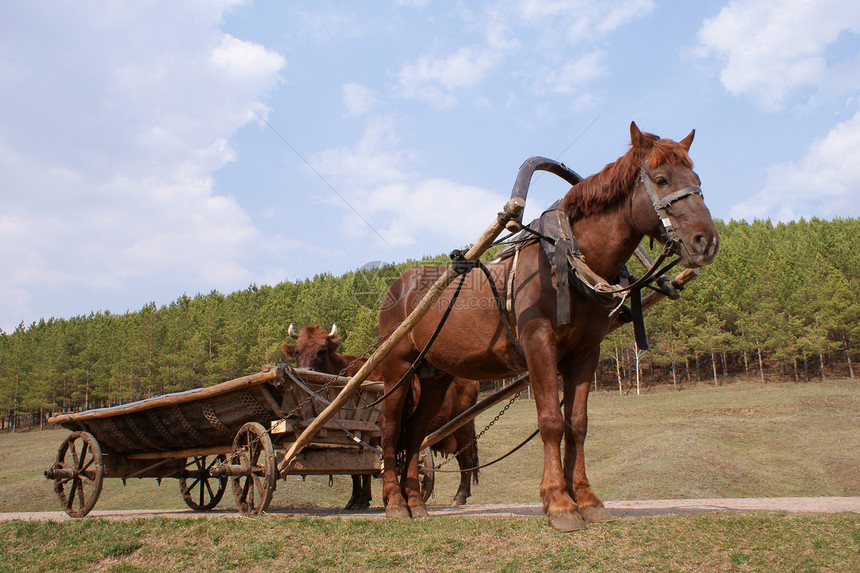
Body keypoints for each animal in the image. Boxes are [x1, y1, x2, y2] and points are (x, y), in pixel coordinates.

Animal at [380, 123, 724, 528]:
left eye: (698, 181)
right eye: (661, 179)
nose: (706, 241)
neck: (565, 263)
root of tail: (400, 285)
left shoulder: (585, 354)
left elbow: (577, 423)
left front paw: (587, 499)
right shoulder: (538, 344)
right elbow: (551, 421)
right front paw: (559, 502)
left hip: (435, 375)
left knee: (416, 433)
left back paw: (415, 501)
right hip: (397, 368)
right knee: (390, 430)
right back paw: (394, 502)